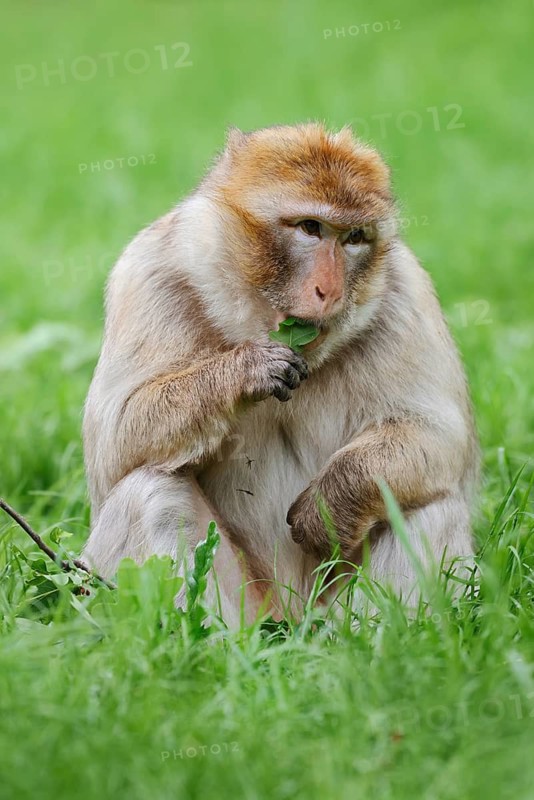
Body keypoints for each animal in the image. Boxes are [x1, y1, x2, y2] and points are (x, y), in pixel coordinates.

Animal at [82, 123, 479, 626]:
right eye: (310, 228)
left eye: (353, 237)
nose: (330, 291)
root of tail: (291, 613)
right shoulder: (151, 274)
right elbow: (115, 442)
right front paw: (246, 371)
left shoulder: (405, 293)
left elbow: (439, 435)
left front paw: (331, 504)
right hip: (250, 604)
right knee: (150, 492)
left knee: (429, 504)